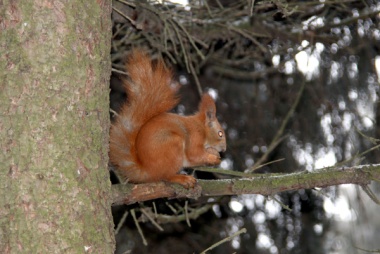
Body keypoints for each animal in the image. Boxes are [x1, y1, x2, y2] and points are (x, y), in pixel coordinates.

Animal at [108, 50, 226, 189]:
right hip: (173, 145)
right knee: (165, 176)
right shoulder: (195, 136)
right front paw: (212, 158)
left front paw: (213, 153)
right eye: (220, 133)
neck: (202, 127)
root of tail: (147, 171)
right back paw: (181, 178)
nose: (224, 149)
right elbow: (194, 154)